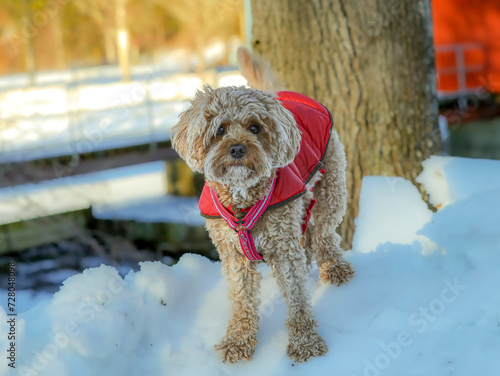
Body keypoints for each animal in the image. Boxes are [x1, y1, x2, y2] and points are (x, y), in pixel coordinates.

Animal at [172, 47, 356, 364]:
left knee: (323, 232)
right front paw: (238, 341)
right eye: (220, 129)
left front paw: (305, 342)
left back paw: (334, 267)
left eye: (255, 127)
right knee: (309, 235)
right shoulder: (233, 253)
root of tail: (277, 93)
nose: (237, 148)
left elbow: (296, 298)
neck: (242, 199)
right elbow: (242, 301)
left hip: (331, 184)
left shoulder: (284, 247)